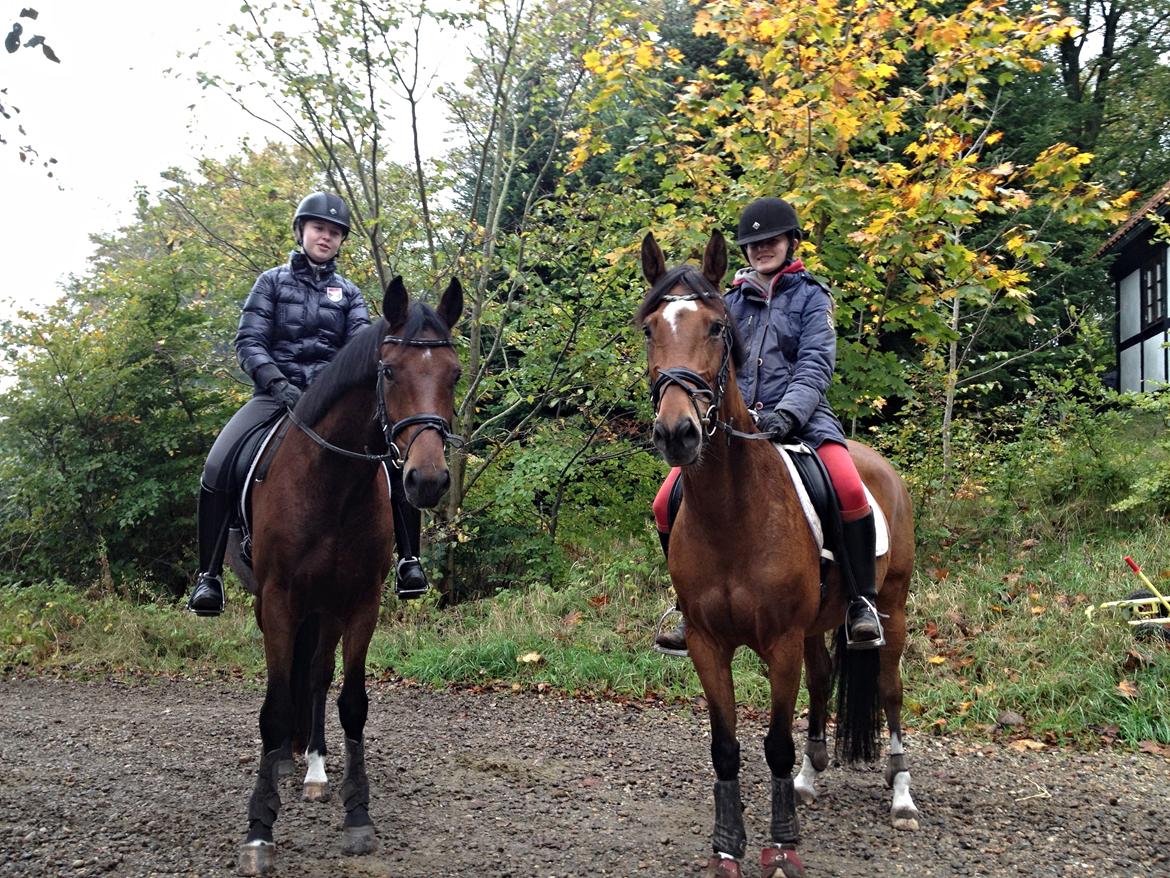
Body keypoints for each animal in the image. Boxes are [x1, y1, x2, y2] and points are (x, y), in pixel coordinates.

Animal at [225, 276, 463, 878]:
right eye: (389, 372)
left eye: (453, 373)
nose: (427, 480)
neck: (330, 483)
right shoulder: (279, 601)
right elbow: (273, 707)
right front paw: (259, 830)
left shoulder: (359, 603)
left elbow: (350, 701)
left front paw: (358, 816)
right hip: (275, 603)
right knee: (291, 678)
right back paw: (284, 764)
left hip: (325, 608)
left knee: (313, 674)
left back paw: (312, 769)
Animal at [636, 231, 917, 878]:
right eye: (650, 329)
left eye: (717, 327)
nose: (677, 434)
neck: (731, 514)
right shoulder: (708, 644)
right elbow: (727, 746)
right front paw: (726, 846)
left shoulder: (780, 642)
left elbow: (776, 744)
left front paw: (783, 846)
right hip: (816, 626)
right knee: (823, 679)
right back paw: (812, 778)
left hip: (892, 608)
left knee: (889, 689)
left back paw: (901, 795)